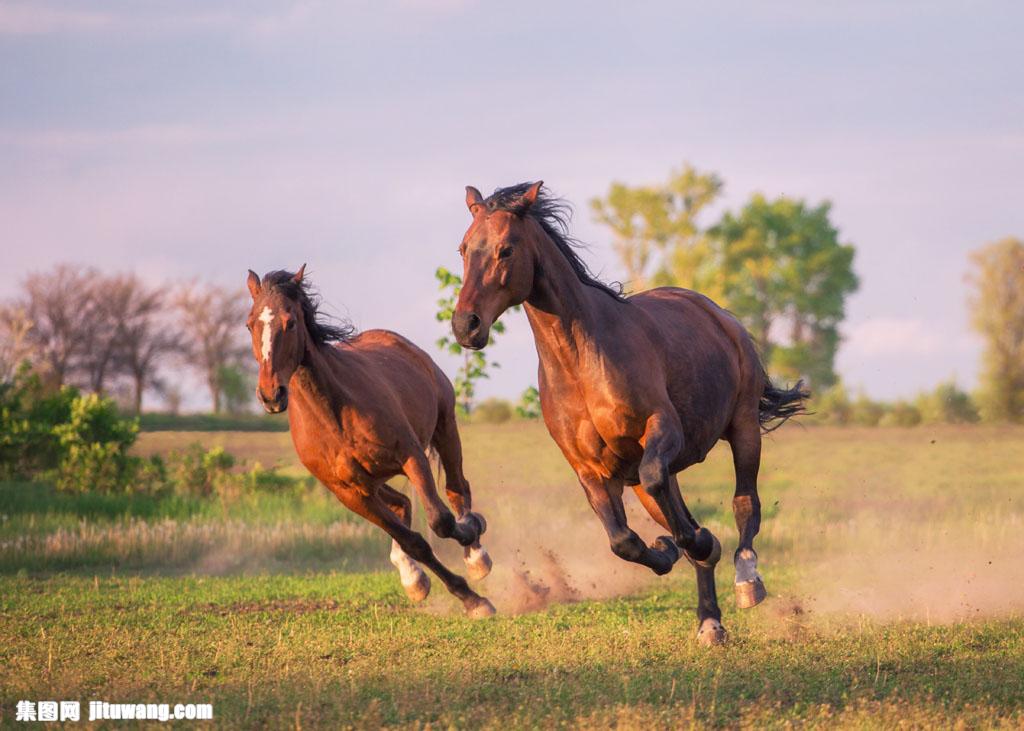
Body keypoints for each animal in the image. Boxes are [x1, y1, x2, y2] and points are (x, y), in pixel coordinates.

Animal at [243, 264, 491, 614]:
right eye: (250, 323)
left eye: (290, 322)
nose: (270, 395)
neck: (335, 415)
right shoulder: (350, 493)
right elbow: (414, 542)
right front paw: (467, 597)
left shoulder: (411, 456)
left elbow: (440, 521)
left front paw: (472, 547)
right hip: (373, 481)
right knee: (402, 504)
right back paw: (412, 577)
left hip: (445, 426)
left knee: (457, 489)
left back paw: (477, 554)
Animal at [448, 182, 806, 642]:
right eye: (463, 249)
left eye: (506, 249)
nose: (466, 325)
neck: (581, 361)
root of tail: (719, 315)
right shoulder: (590, 469)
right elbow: (623, 540)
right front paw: (669, 549)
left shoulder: (662, 429)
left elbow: (678, 506)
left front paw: (699, 544)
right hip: (647, 481)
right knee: (676, 511)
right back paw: (709, 620)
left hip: (743, 427)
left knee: (746, 503)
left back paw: (746, 579)